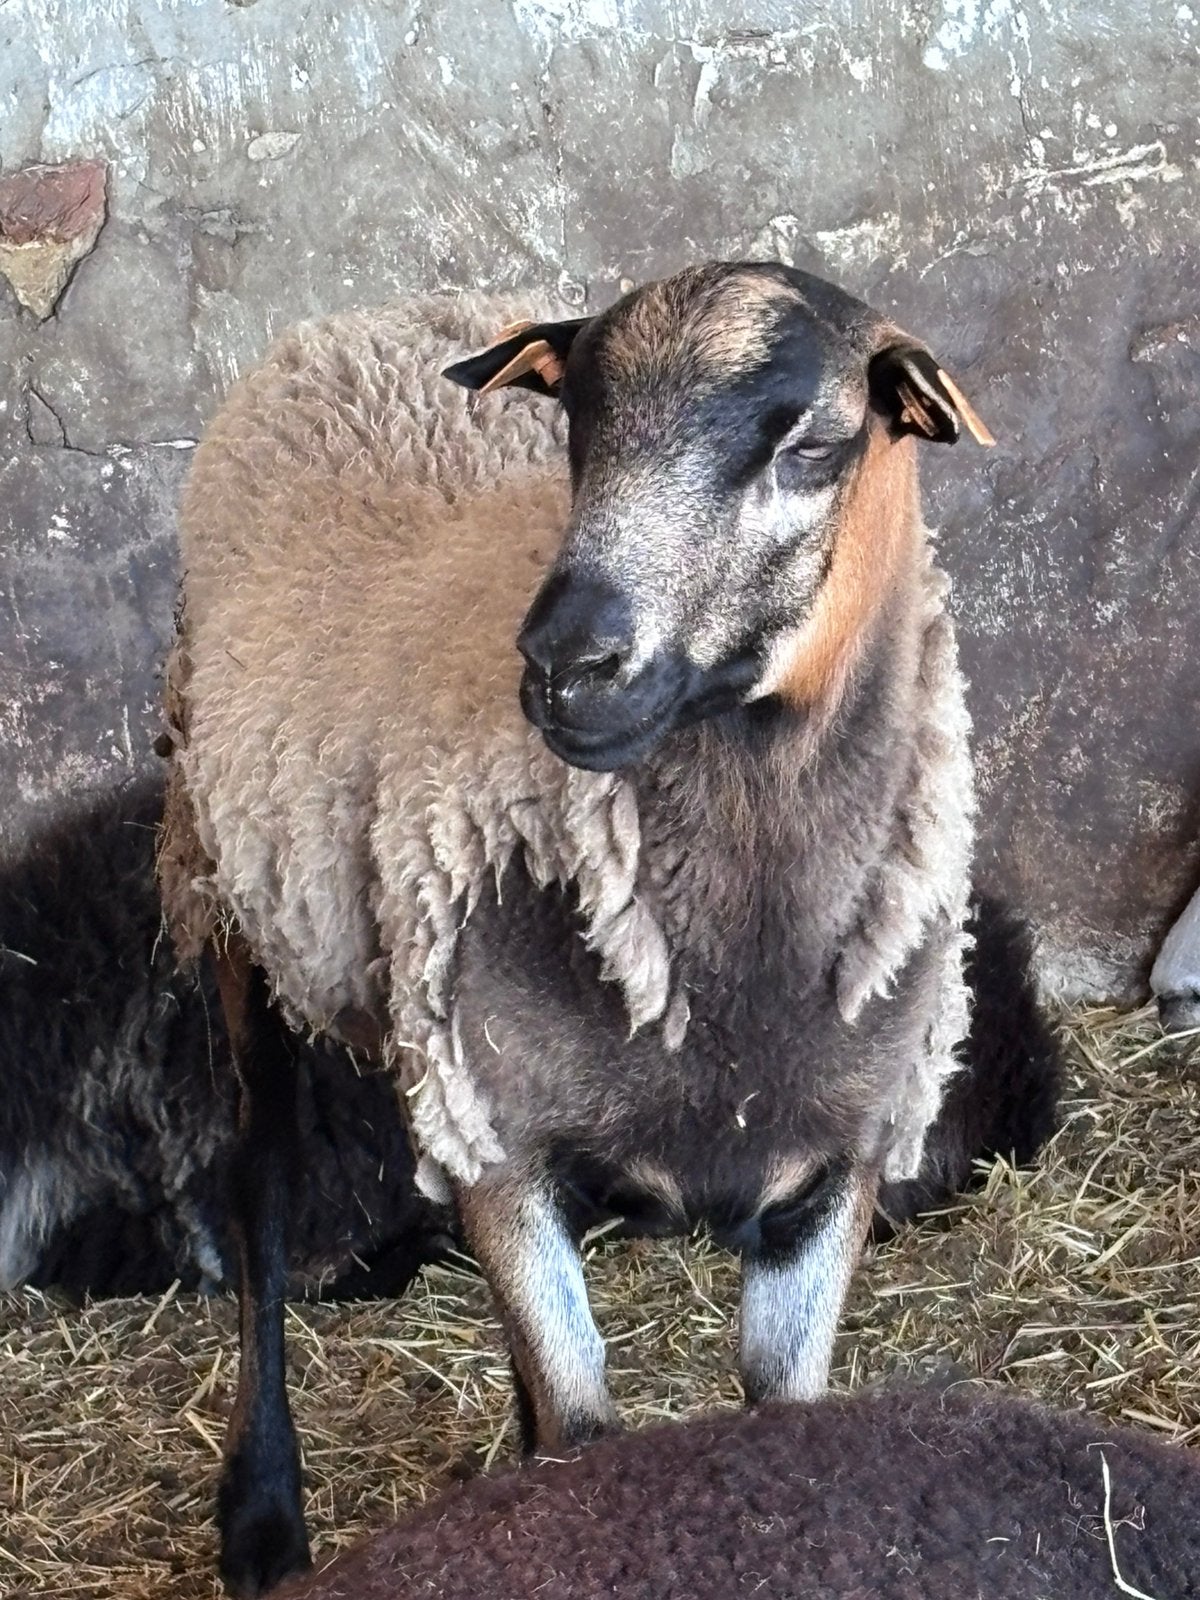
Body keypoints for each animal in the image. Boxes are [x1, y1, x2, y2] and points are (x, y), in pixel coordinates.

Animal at [158, 263, 1062, 1594]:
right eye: (578, 427)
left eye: (812, 444)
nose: (566, 662)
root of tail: (361, 322)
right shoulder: (507, 1149)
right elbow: (583, 1435)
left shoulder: (833, 1163)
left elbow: (771, 1416)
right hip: (236, 910)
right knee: (260, 1200)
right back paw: (262, 1512)